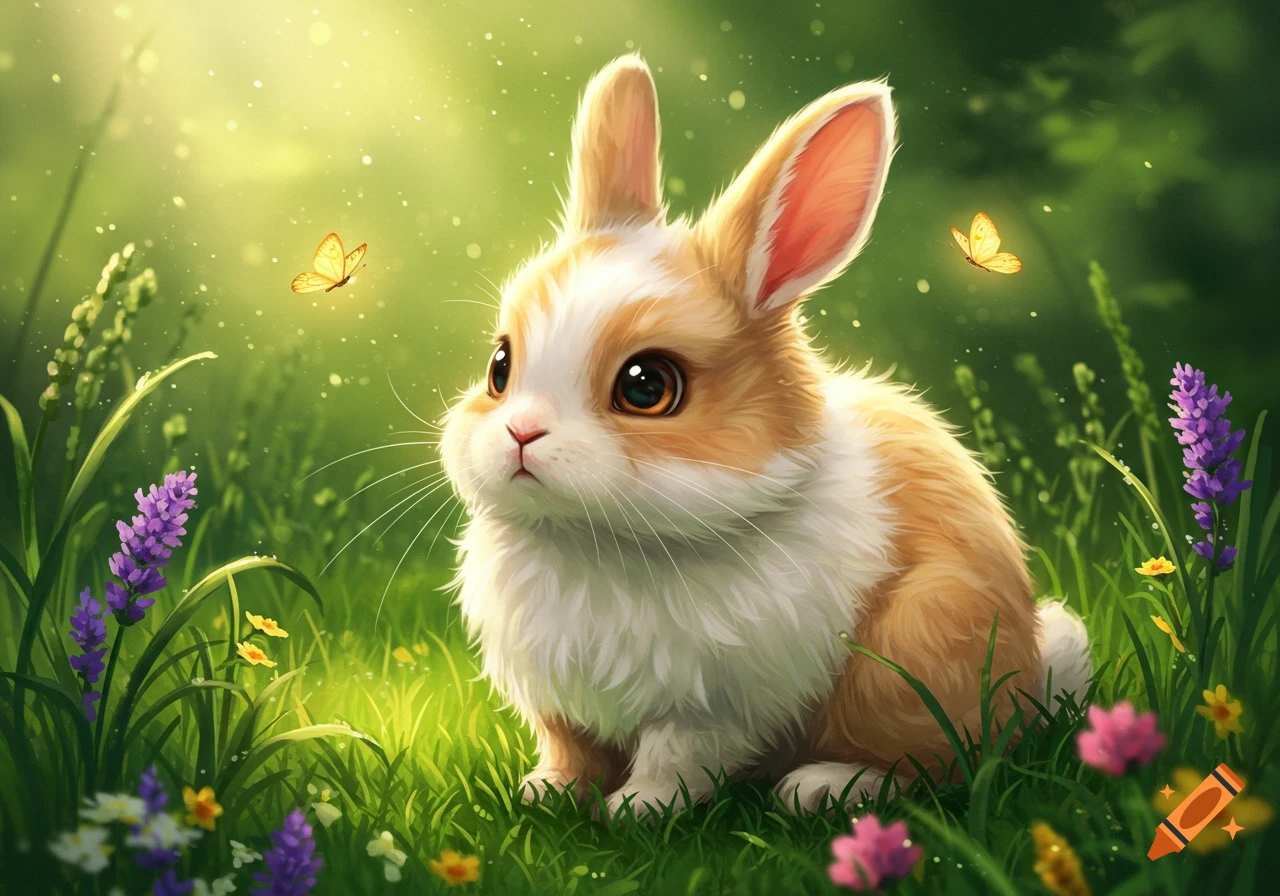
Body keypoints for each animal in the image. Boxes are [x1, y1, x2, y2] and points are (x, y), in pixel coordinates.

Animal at [440, 55, 1092, 819]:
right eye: (500, 366)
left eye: (645, 386)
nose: (521, 432)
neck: (600, 544)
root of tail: (1030, 670)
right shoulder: (562, 702)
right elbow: (572, 746)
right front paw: (548, 793)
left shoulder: (715, 705)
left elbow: (675, 756)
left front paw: (639, 809)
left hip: (913, 656)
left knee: (941, 763)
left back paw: (824, 787)